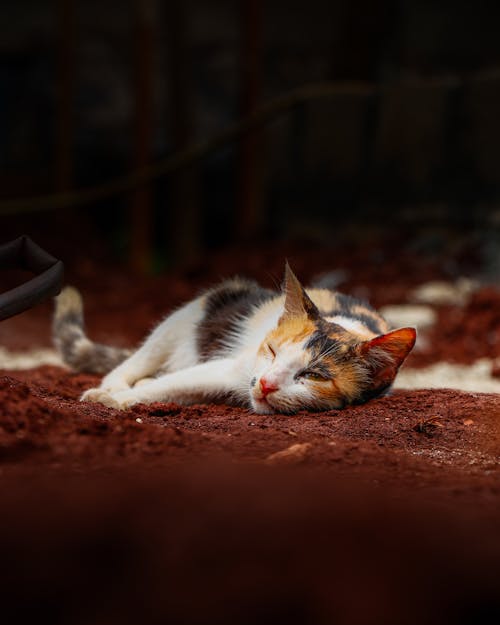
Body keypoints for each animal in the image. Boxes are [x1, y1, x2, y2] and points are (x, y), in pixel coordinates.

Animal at [52, 264, 416, 414]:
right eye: (272, 350)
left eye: (313, 375)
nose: (267, 383)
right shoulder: (230, 368)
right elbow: (167, 384)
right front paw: (111, 399)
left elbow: (169, 388)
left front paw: (128, 398)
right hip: (191, 314)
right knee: (135, 361)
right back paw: (114, 384)